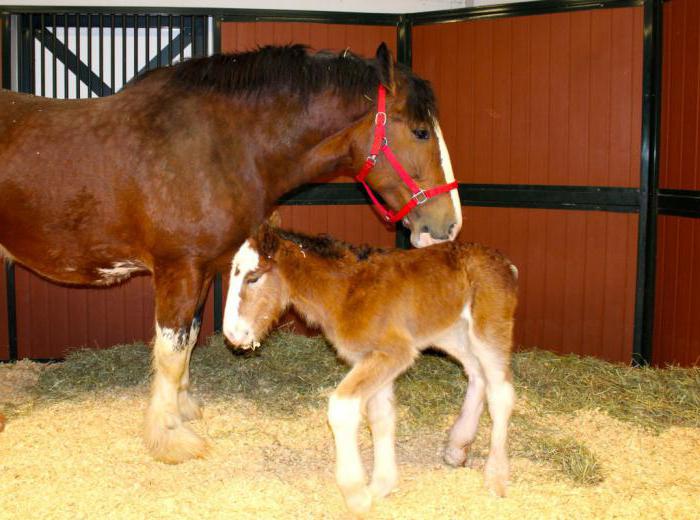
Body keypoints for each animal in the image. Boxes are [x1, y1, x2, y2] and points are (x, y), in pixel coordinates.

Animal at [0, 42, 462, 462]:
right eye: (420, 131)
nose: (449, 225)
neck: (220, 146)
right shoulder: (179, 270)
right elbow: (170, 352)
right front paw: (169, 438)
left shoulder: (202, 271)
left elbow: (186, 344)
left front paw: (183, 410)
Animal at [224, 223, 520, 512]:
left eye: (253, 278)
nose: (232, 335)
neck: (347, 292)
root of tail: (505, 263)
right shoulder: (371, 360)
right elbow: (381, 418)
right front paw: (381, 486)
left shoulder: (393, 354)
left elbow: (342, 409)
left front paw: (356, 495)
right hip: (453, 335)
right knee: (476, 374)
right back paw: (457, 448)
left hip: (488, 332)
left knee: (500, 394)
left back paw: (496, 477)